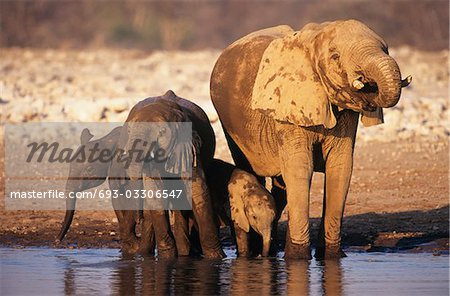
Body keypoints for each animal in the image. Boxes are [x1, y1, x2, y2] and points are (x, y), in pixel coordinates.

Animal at [211, 19, 412, 260]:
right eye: (335, 56)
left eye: (386, 49)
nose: (366, 84)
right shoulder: (287, 105)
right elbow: (300, 167)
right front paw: (297, 259)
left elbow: (340, 167)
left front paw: (332, 257)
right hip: (232, 126)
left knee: (281, 187)